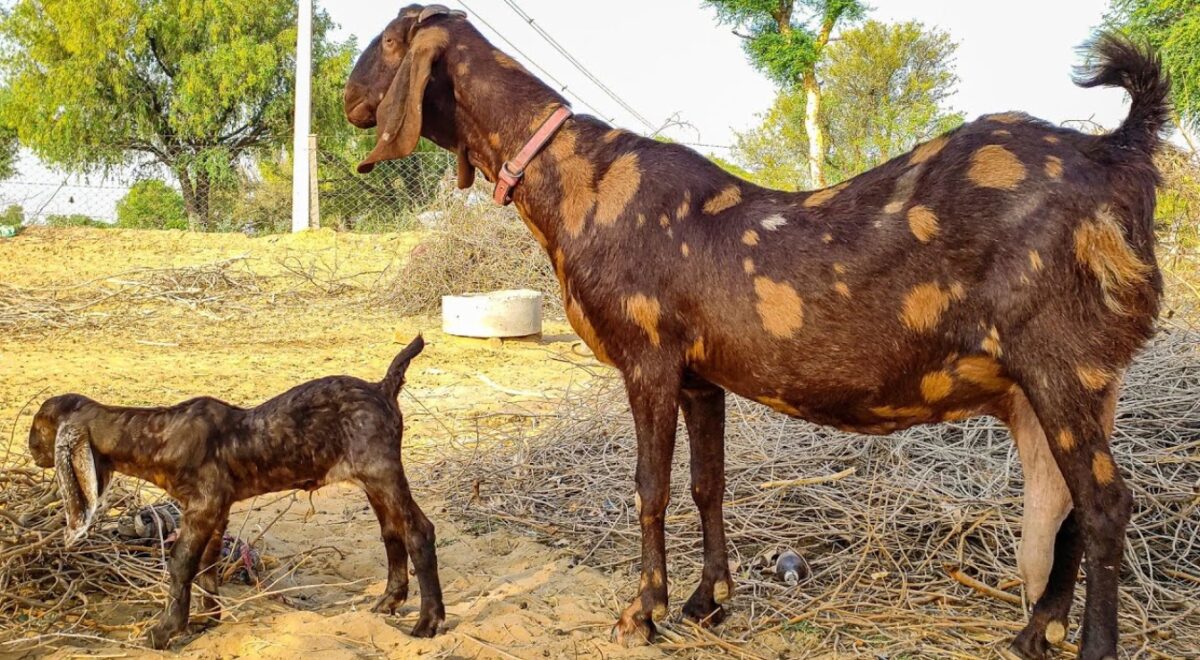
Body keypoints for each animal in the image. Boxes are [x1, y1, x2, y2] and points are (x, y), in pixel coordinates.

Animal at [343, 6, 1166, 660]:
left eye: (385, 41)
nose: (348, 99)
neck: (582, 181)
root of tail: (1116, 154)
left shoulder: (648, 359)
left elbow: (649, 486)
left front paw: (643, 612)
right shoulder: (701, 376)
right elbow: (707, 483)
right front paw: (710, 601)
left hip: (1062, 364)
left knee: (1104, 505)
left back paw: (1090, 648)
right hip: (1078, 381)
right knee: (1067, 507)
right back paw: (1033, 634)